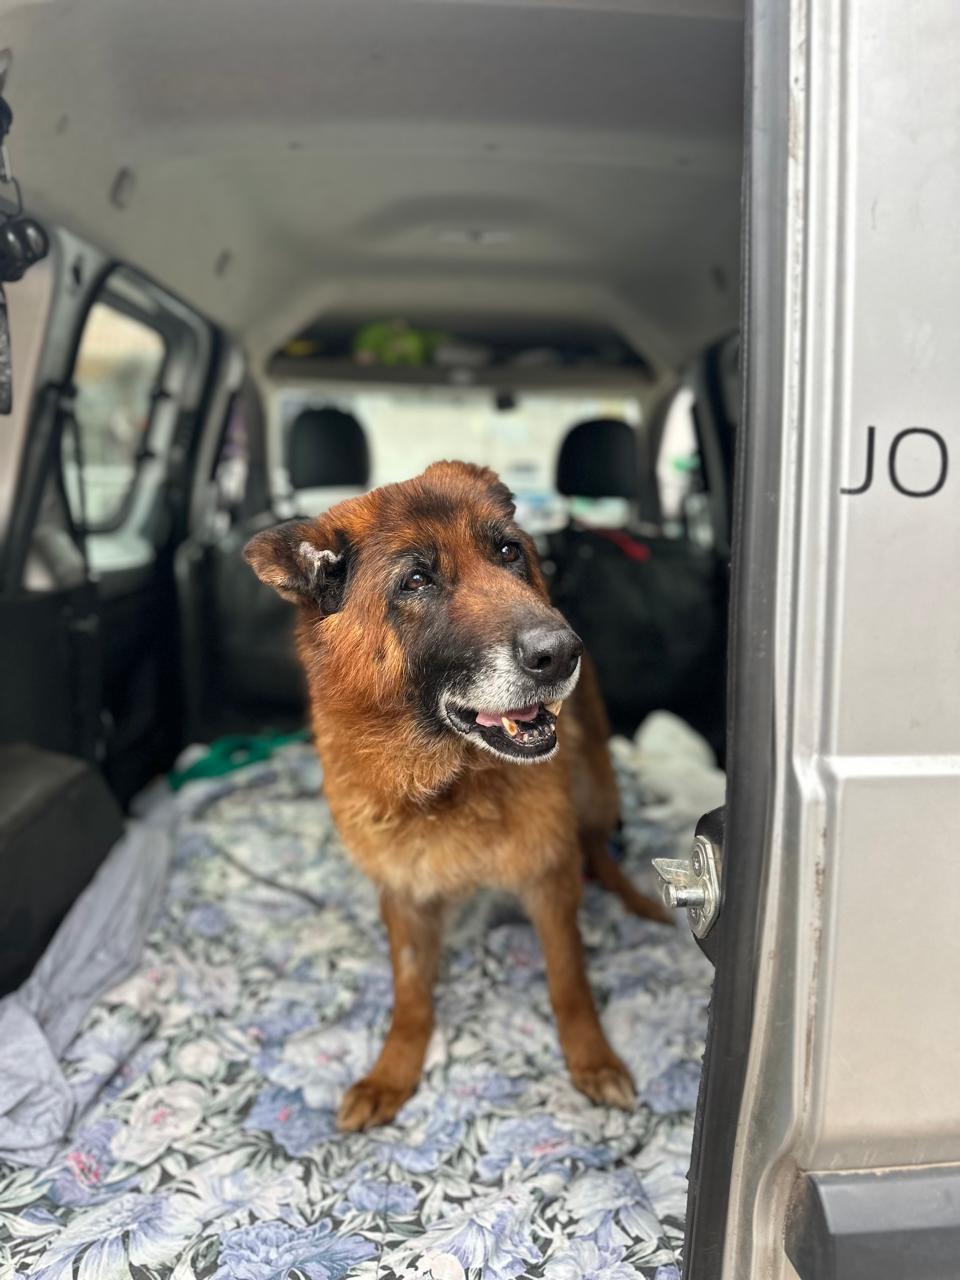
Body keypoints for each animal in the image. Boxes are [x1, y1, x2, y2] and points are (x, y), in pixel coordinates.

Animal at [244, 460, 671, 1131]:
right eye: (417, 580)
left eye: (508, 552)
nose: (562, 653)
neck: (449, 783)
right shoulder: (403, 895)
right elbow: (411, 993)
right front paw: (391, 1073)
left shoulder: (548, 879)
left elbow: (569, 980)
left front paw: (592, 1059)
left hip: (593, 785)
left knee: (599, 846)